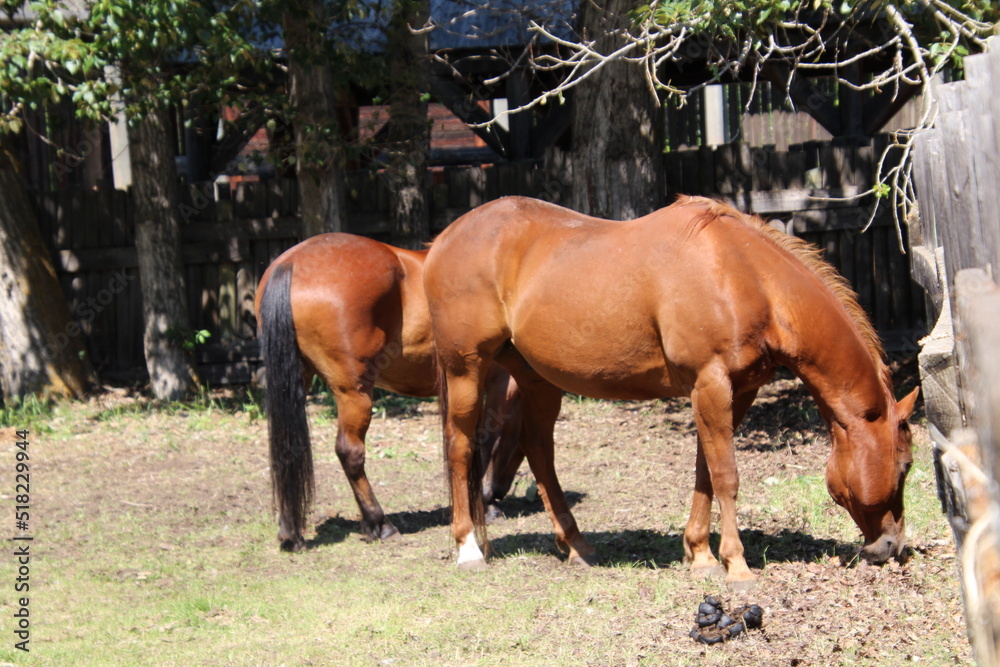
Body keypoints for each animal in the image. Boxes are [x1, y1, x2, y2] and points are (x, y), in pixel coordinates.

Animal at [254, 233, 524, 552]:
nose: (499, 491)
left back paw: (290, 531)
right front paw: (483, 504)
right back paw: (379, 523)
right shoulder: (499, 382)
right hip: (355, 392)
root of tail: (291, 263)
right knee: (350, 451)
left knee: (286, 450)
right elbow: (484, 439)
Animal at [423, 195, 920, 589]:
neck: (744, 274)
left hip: (536, 379)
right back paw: (469, 548)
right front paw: (736, 565)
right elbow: (727, 475)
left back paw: (577, 545)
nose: (892, 546)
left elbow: (706, 470)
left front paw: (699, 554)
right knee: (460, 447)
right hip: (466, 369)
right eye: (906, 465)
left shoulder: (734, 391)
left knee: (537, 448)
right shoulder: (710, 383)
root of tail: (442, 240)